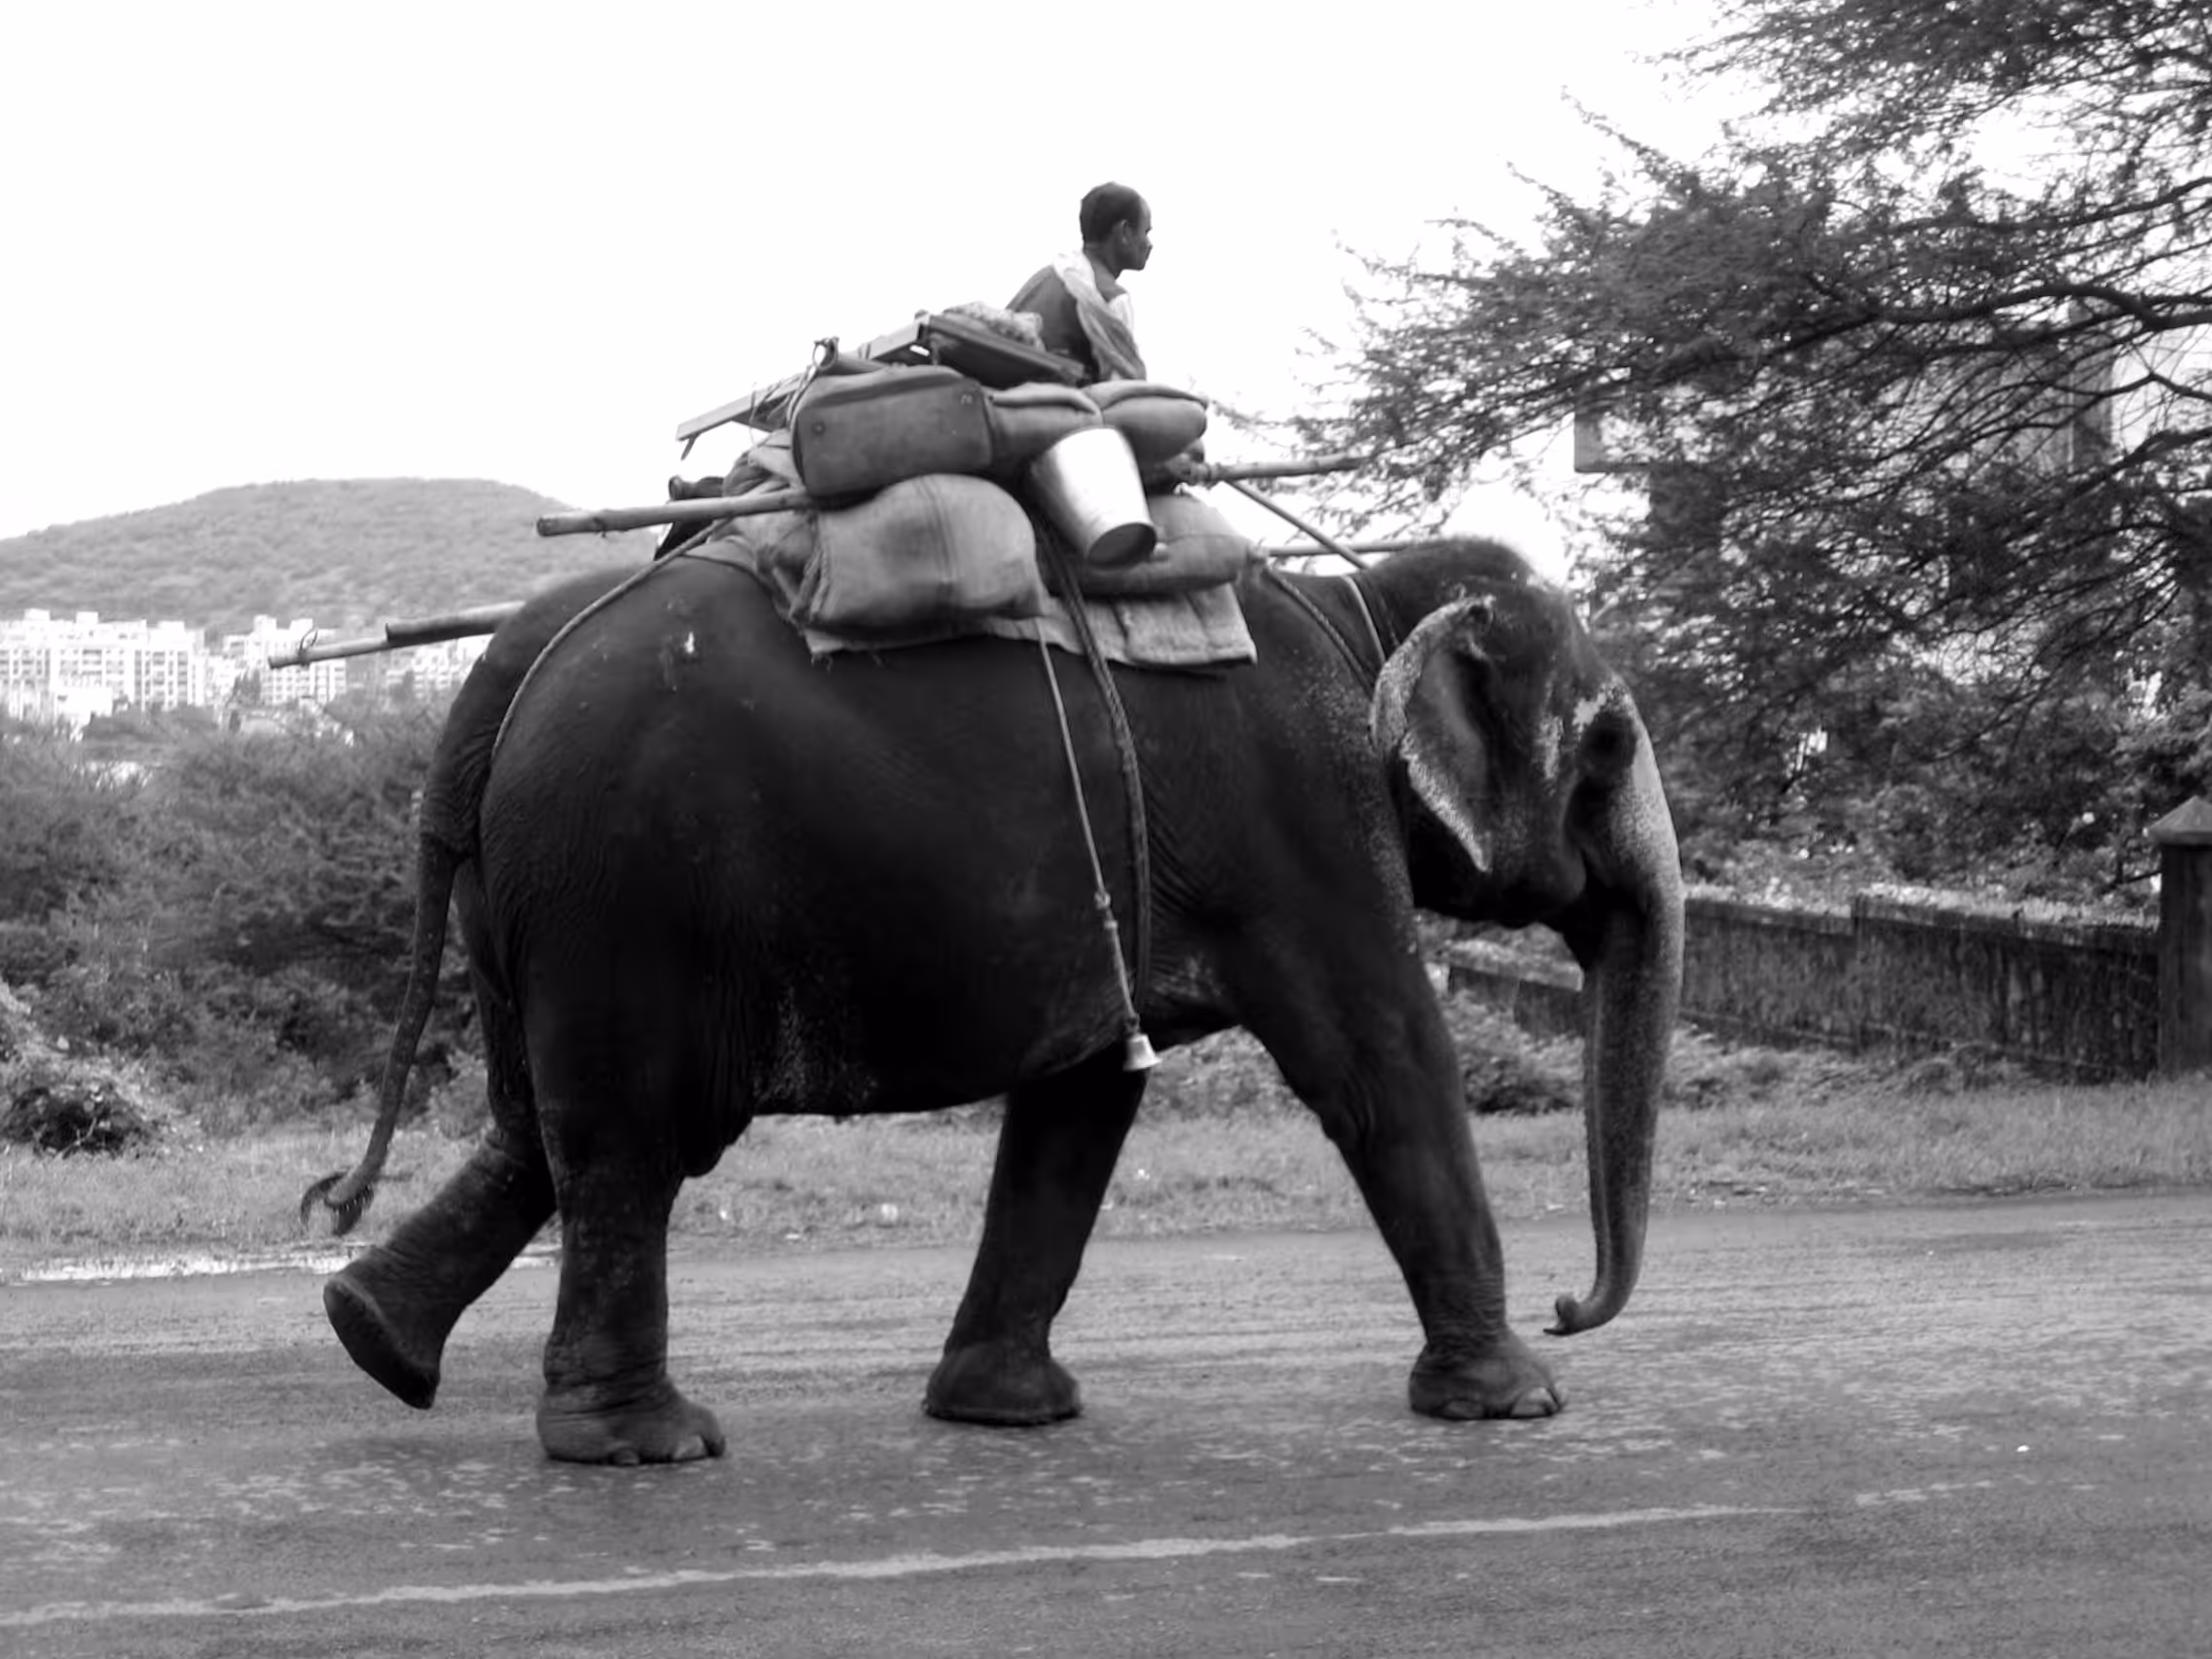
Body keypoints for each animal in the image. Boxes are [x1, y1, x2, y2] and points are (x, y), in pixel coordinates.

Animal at [303, 536, 1684, 1465]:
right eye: (1610, 744)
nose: (1571, 1308)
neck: (1366, 606)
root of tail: (504, 671)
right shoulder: (1307, 814)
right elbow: (1381, 1050)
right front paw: (1516, 1403)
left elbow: (1081, 1104)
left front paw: (1006, 1413)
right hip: (620, 886)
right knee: (627, 1142)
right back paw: (648, 1442)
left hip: (535, 897)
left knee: (541, 1129)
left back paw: (372, 1336)